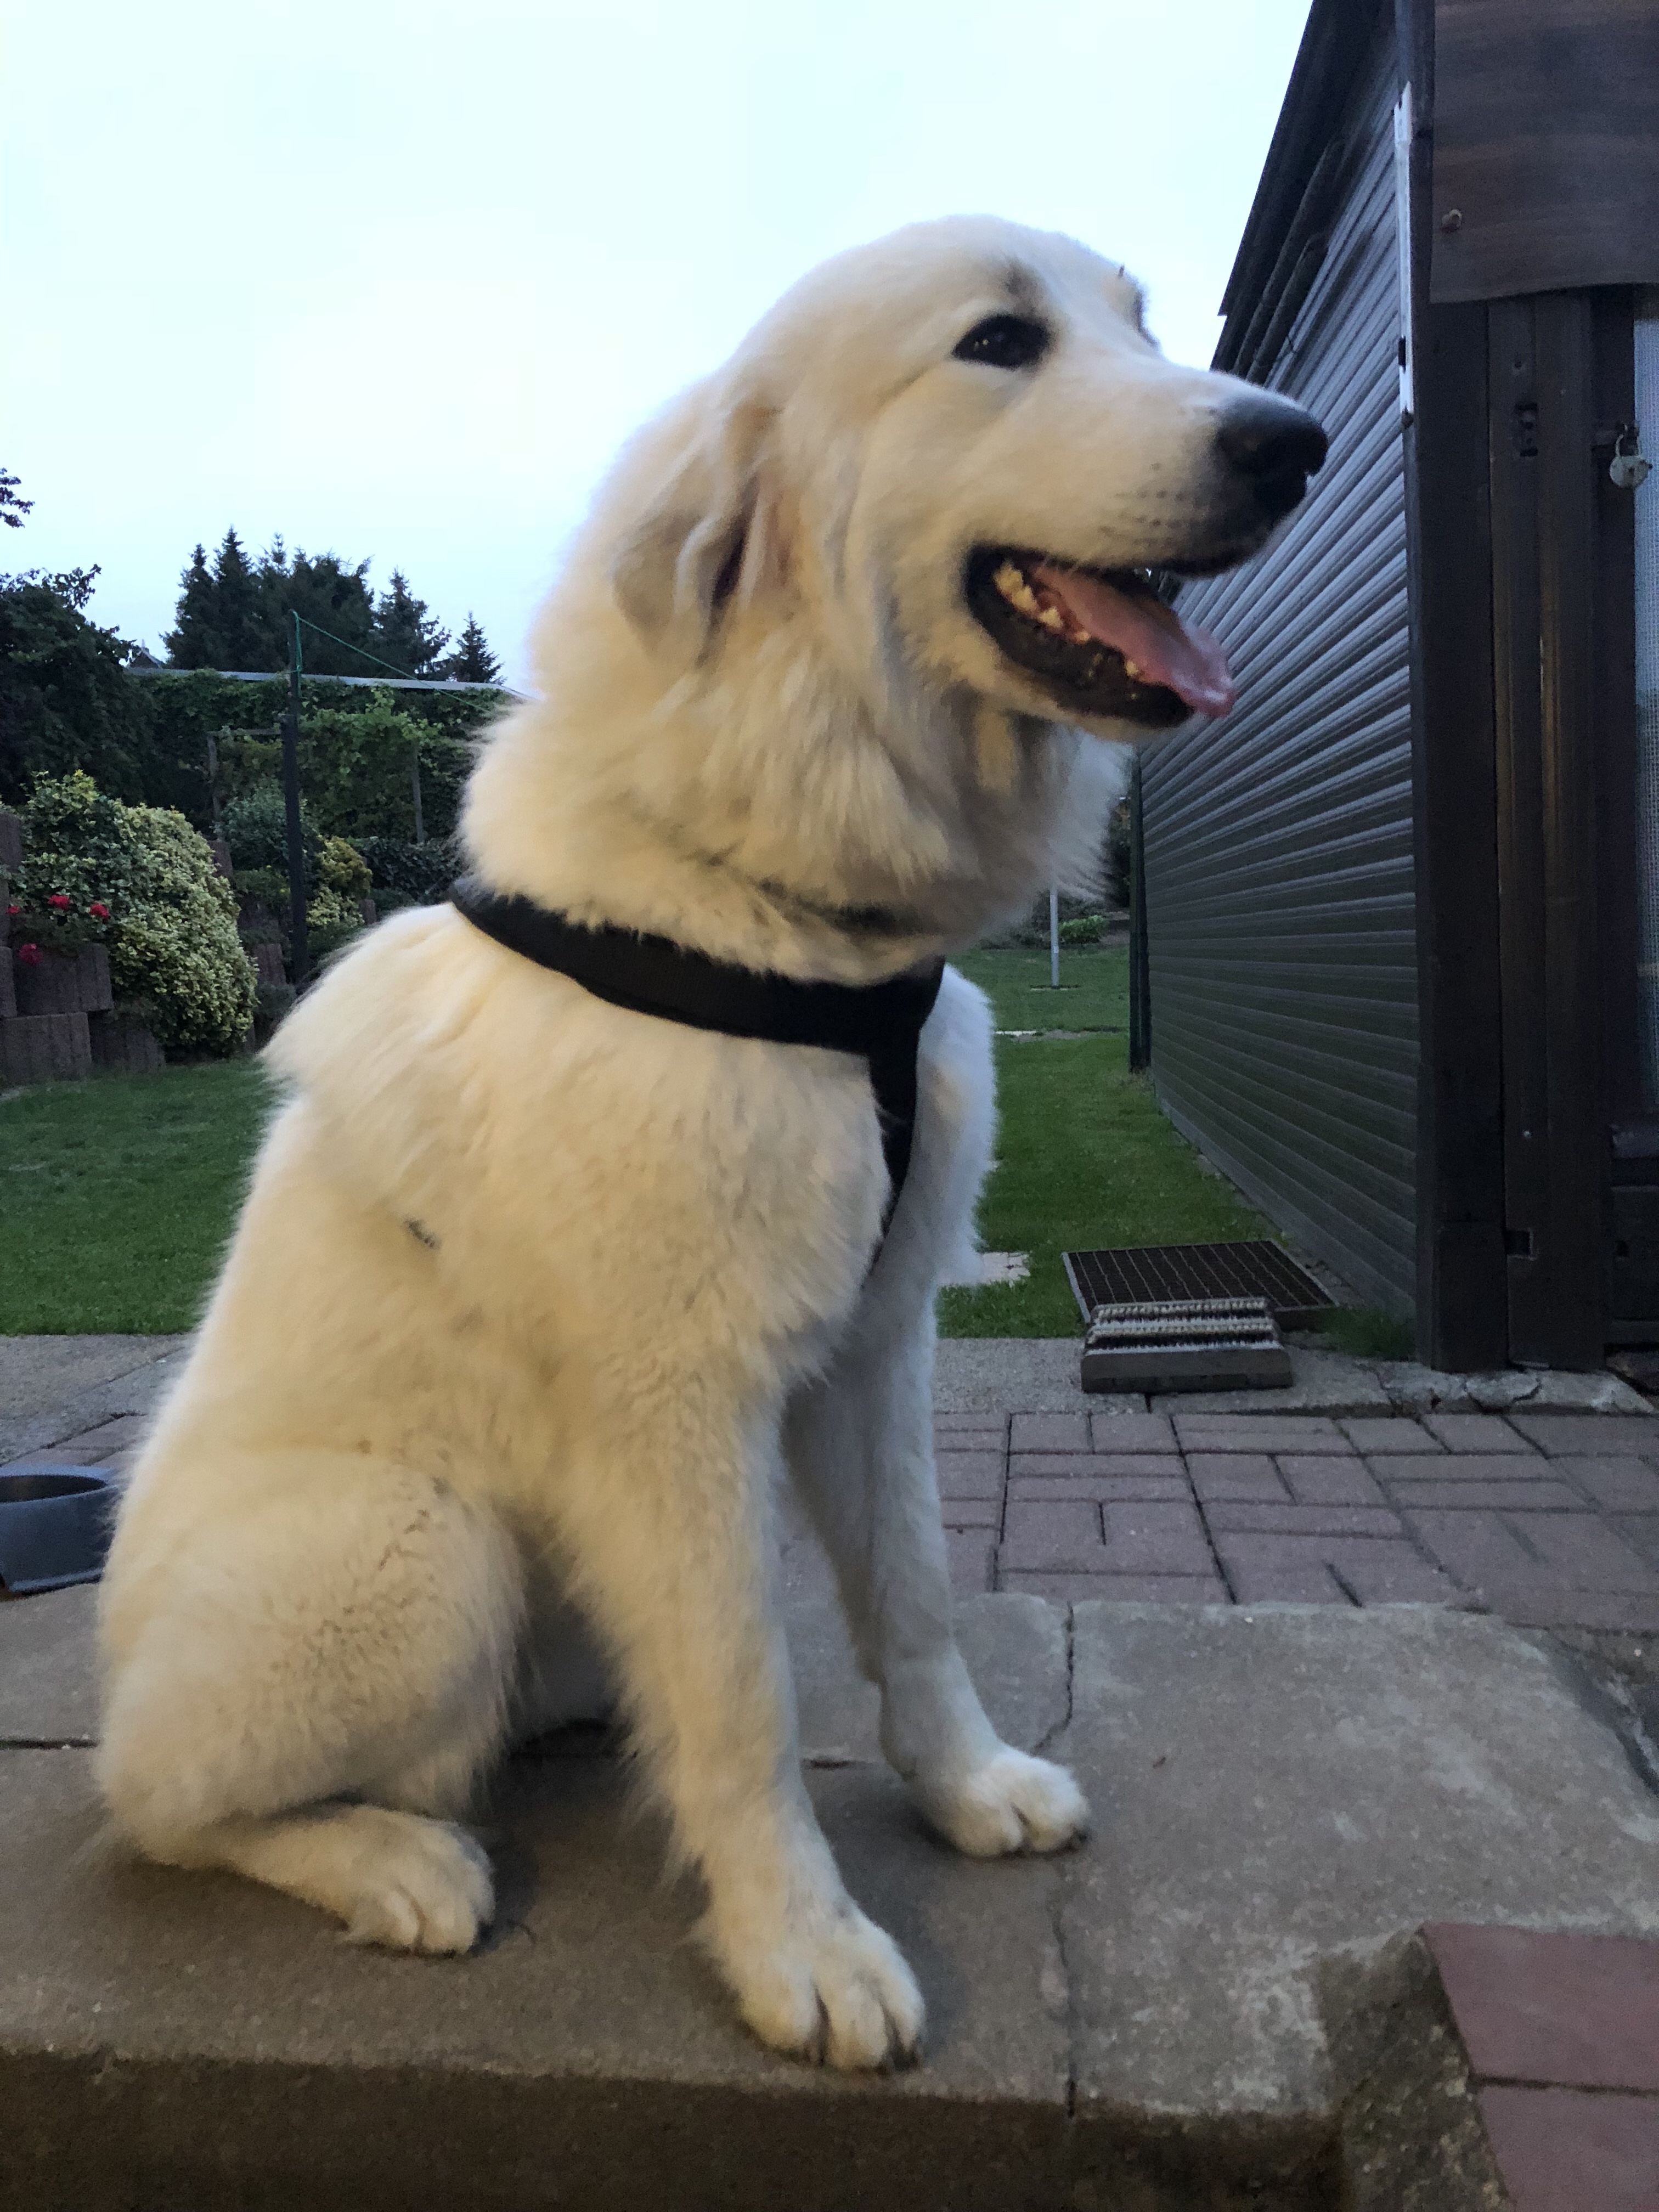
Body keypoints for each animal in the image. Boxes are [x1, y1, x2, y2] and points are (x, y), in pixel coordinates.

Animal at [97, 216, 1323, 2071]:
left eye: (1138, 326)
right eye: (999, 341)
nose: (1292, 442)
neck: (787, 913)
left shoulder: (880, 1348)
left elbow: (916, 1601)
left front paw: (967, 1790)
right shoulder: (681, 1401)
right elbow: (747, 1702)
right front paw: (800, 1950)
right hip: (423, 1551)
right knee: (157, 1807)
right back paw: (395, 1862)